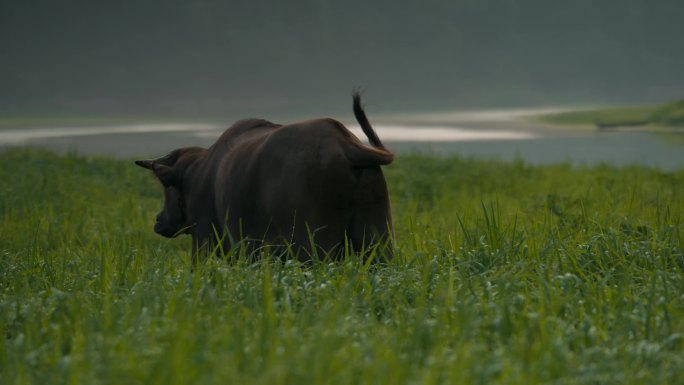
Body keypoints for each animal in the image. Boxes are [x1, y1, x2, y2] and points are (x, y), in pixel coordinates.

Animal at [136, 92, 392, 260]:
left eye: (166, 189)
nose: (158, 220)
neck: (198, 173)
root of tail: (346, 145)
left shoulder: (205, 241)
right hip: (378, 238)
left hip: (314, 247)